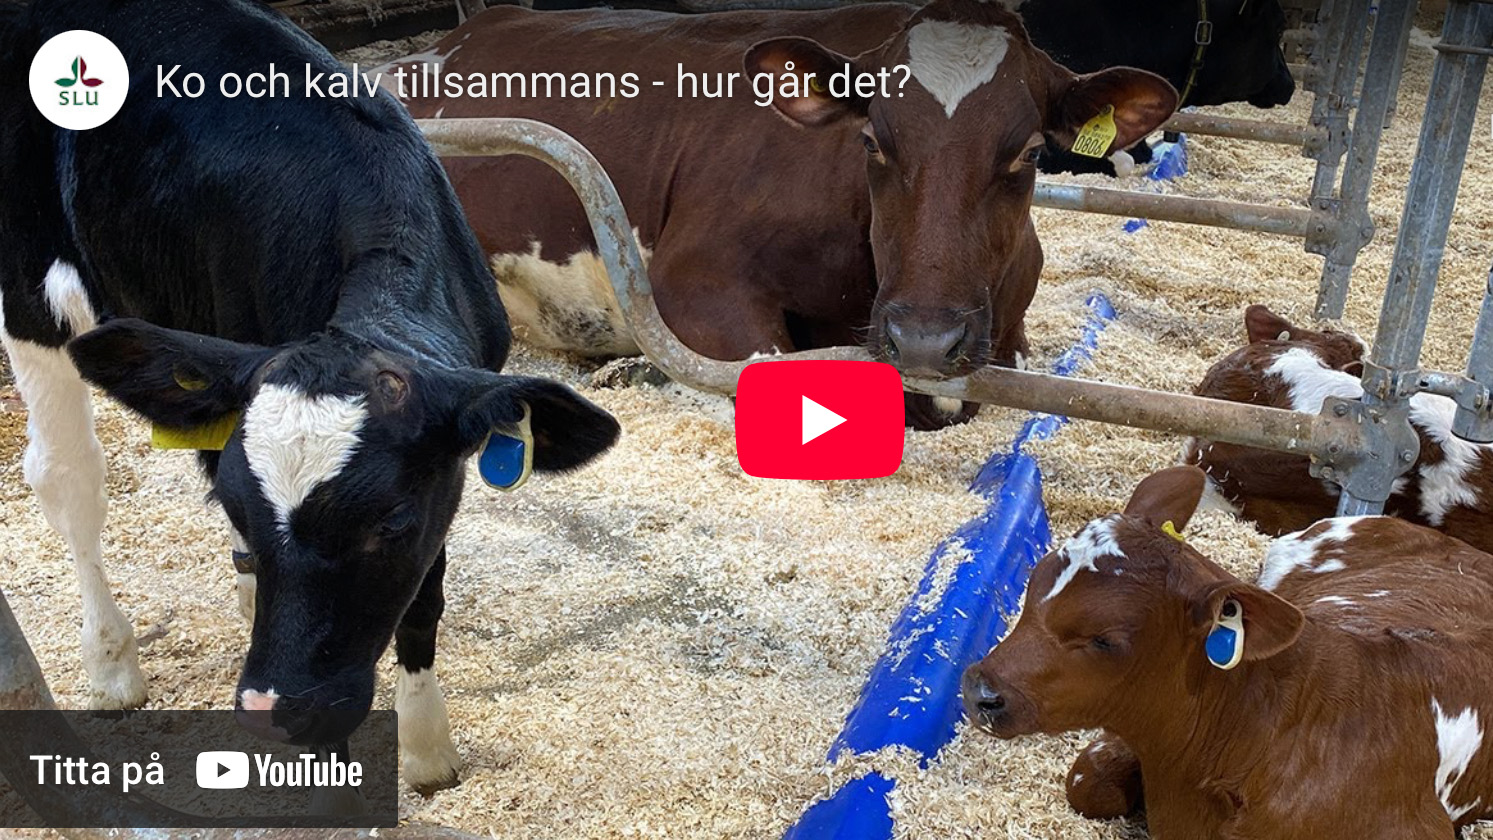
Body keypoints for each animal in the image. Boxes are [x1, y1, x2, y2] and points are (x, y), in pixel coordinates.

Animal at [0, 0, 618, 793]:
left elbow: (424, 596)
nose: (272, 709)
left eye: (391, 523)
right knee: (69, 477)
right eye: (240, 507)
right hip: (29, 284)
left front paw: (426, 747)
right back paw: (111, 664)